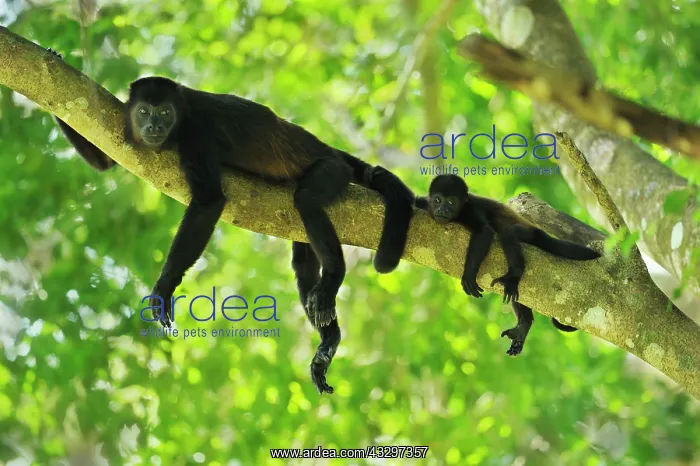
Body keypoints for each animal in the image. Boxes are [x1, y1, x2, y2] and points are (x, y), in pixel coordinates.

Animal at [48, 64, 415, 394]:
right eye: (142, 111)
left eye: (164, 111)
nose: (153, 125)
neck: (181, 117)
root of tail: (328, 149)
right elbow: (105, 160)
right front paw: (51, 64)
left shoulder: (196, 132)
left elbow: (209, 200)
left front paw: (165, 285)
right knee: (303, 263)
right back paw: (329, 338)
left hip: (332, 170)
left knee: (308, 199)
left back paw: (334, 277)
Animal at [415, 174, 601, 356]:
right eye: (437, 200)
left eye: (451, 202)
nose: (442, 210)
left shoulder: (469, 211)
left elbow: (484, 231)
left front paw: (468, 275)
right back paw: (524, 324)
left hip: (530, 233)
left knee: (508, 231)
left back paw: (513, 277)